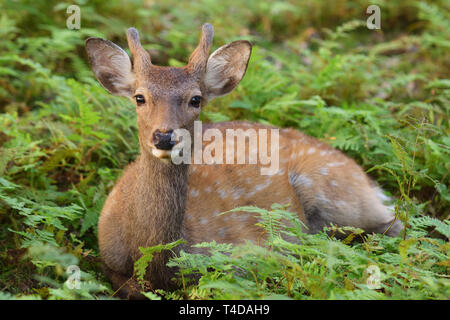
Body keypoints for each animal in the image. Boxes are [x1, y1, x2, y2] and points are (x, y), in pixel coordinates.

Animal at [85, 23, 404, 298]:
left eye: (196, 99)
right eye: (139, 97)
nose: (164, 137)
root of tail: (368, 181)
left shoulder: (245, 252)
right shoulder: (108, 258)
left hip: (336, 191)